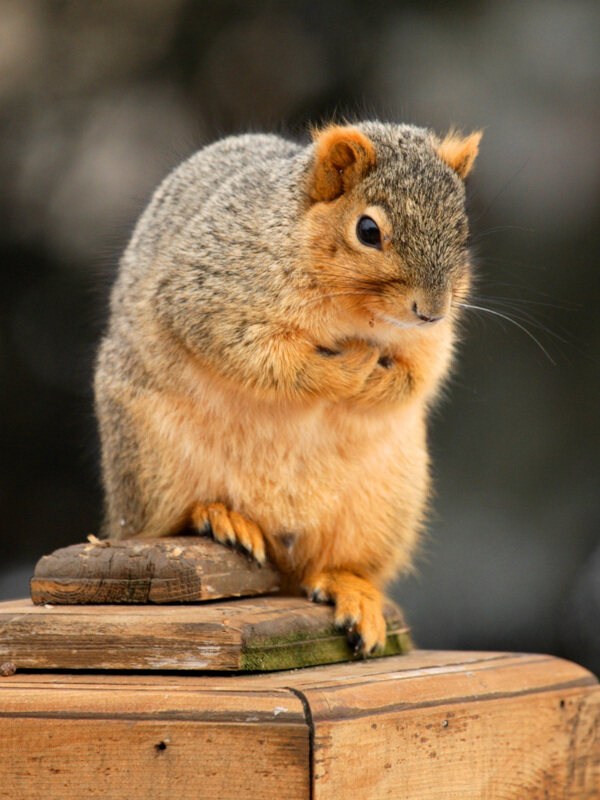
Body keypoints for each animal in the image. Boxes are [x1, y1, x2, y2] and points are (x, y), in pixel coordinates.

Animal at [94, 122, 480, 652]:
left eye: (463, 230)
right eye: (368, 230)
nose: (432, 310)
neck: (354, 314)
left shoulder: (429, 345)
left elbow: (419, 375)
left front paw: (375, 381)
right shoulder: (212, 293)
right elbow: (268, 360)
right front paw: (350, 370)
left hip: (383, 504)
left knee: (335, 565)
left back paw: (350, 590)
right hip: (154, 462)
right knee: (168, 521)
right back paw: (219, 516)